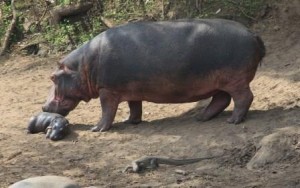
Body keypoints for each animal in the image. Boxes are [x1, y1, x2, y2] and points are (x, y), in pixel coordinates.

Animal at [41, 18, 264, 131]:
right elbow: (134, 107)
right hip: (221, 82)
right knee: (221, 99)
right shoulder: (130, 89)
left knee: (244, 97)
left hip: (235, 79)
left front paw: (96, 129)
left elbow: (107, 111)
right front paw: (130, 122)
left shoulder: (107, 90)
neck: (82, 67)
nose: (43, 106)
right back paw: (201, 118)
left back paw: (233, 121)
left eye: (52, 77)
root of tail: (252, 33)